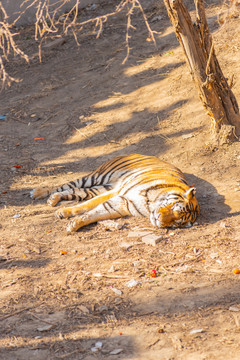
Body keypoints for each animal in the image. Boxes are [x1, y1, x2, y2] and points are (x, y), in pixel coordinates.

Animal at [29, 153, 199, 233]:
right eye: (173, 208)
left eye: (176, 222)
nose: (158, 220)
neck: (148, 206)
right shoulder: (119, 193)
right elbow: (86, 206)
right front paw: (65, 213)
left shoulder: (121, 203)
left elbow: (95, 212)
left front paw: (74, 224)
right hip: (97, 177)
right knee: (65, 185)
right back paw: (38, 193)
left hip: (98, 188)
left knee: (74, 191)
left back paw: (53, 199)